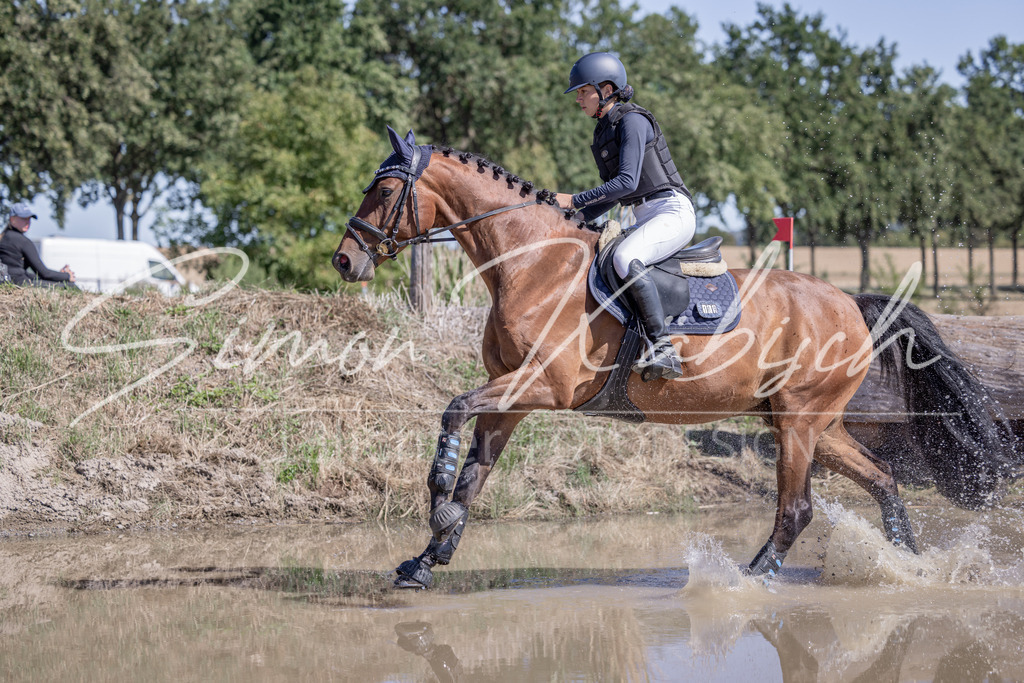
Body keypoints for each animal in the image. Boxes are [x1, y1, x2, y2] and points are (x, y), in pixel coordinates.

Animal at [333, 127, 1010, 589]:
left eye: (385, 188)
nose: (345, 259)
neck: (530, 262)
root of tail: (850, 303)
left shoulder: (545, 387)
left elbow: (453, 411)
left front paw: (437, 503)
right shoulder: (513, 394)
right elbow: (475, 473)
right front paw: (429, 558)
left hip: (797, 424)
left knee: (796, 508)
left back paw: (747, 580)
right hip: (811, 423)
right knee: (883, 478)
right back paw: (913, 567)